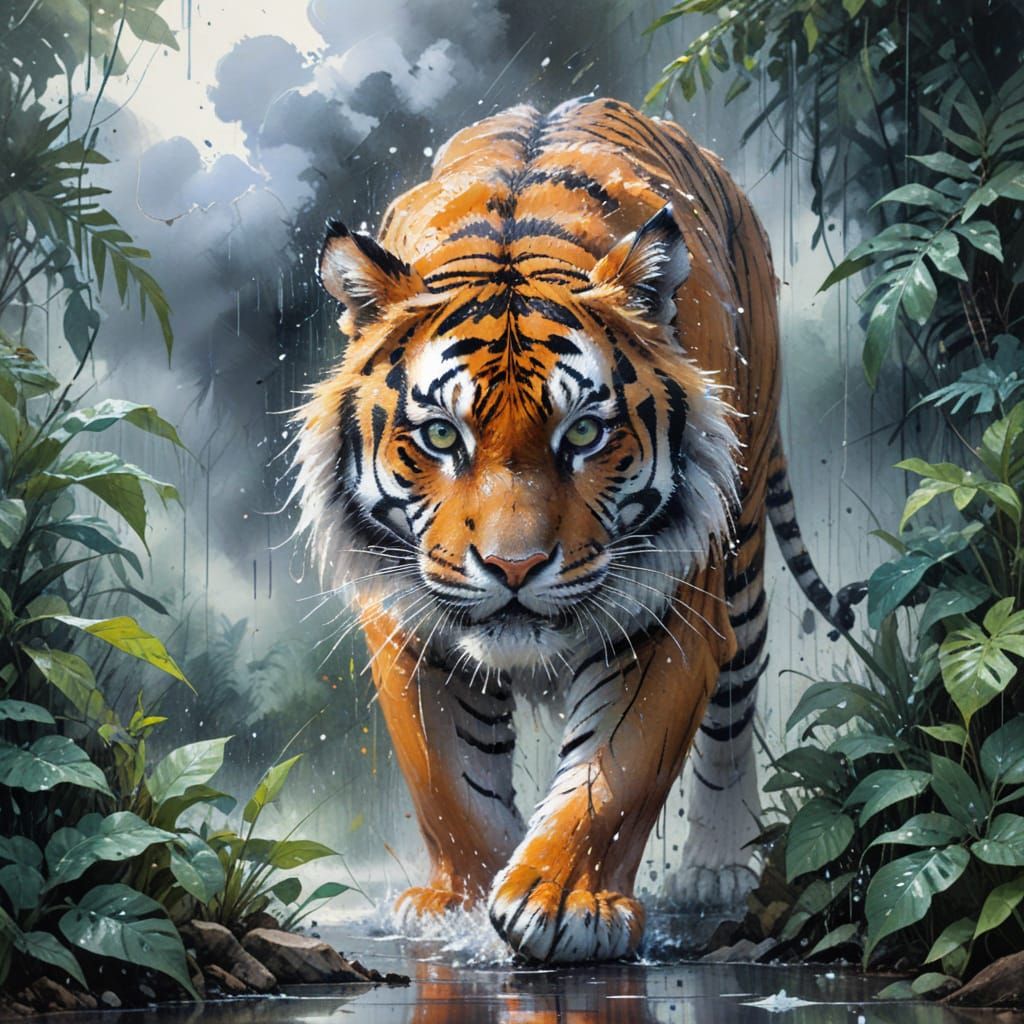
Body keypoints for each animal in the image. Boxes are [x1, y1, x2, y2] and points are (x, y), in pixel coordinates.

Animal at [292, 96, 860, 964]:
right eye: (442, 436)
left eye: (585, 434)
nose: (514, 567)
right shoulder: (408, 624)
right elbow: (450, 785)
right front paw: (462, 908)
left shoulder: (669, 613)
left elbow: (613, 776)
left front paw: (561, 903)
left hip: (741, 553)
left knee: (735, 705)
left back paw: (717, 868)